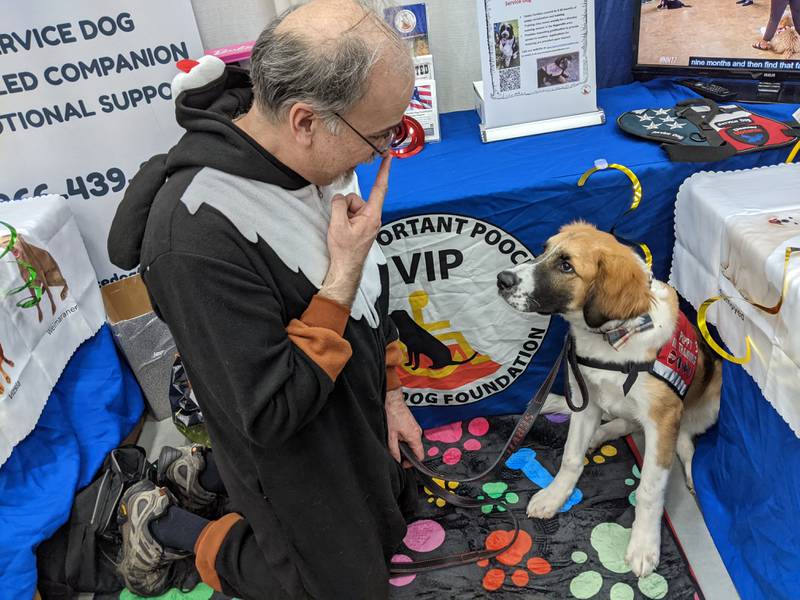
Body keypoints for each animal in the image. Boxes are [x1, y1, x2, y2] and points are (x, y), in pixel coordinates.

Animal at [496, 224, 720, 576]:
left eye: (566, 266)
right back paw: (595, 432)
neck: (611, 339)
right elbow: (570, 457)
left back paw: (690, 473)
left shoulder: (663, 419)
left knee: (686, 444)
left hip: (706, 405)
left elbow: (649, 489)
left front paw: (644, 545)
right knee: (624, 423)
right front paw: (554, 496)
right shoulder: (585, 398)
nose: (502, 279)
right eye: (545, 249)